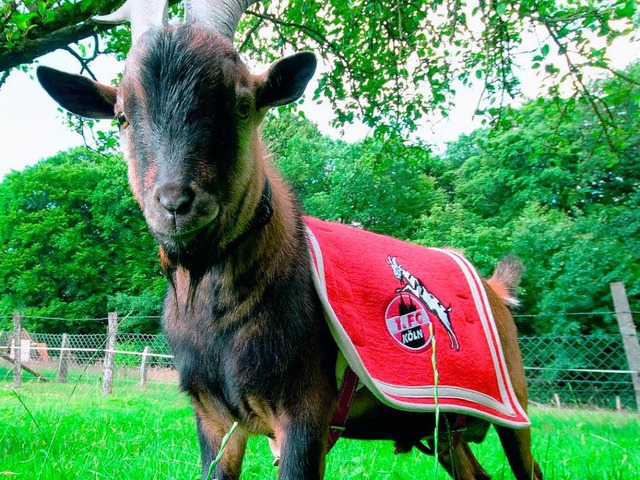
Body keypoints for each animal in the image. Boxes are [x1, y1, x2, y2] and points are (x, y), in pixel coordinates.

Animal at [36, 0, 540, 480]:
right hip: (442, 431)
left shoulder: (304, 411)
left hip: (514, 407)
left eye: (242, 104)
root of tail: (496, 289)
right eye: (122, 116)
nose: (175, 203)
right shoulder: (214, 418)